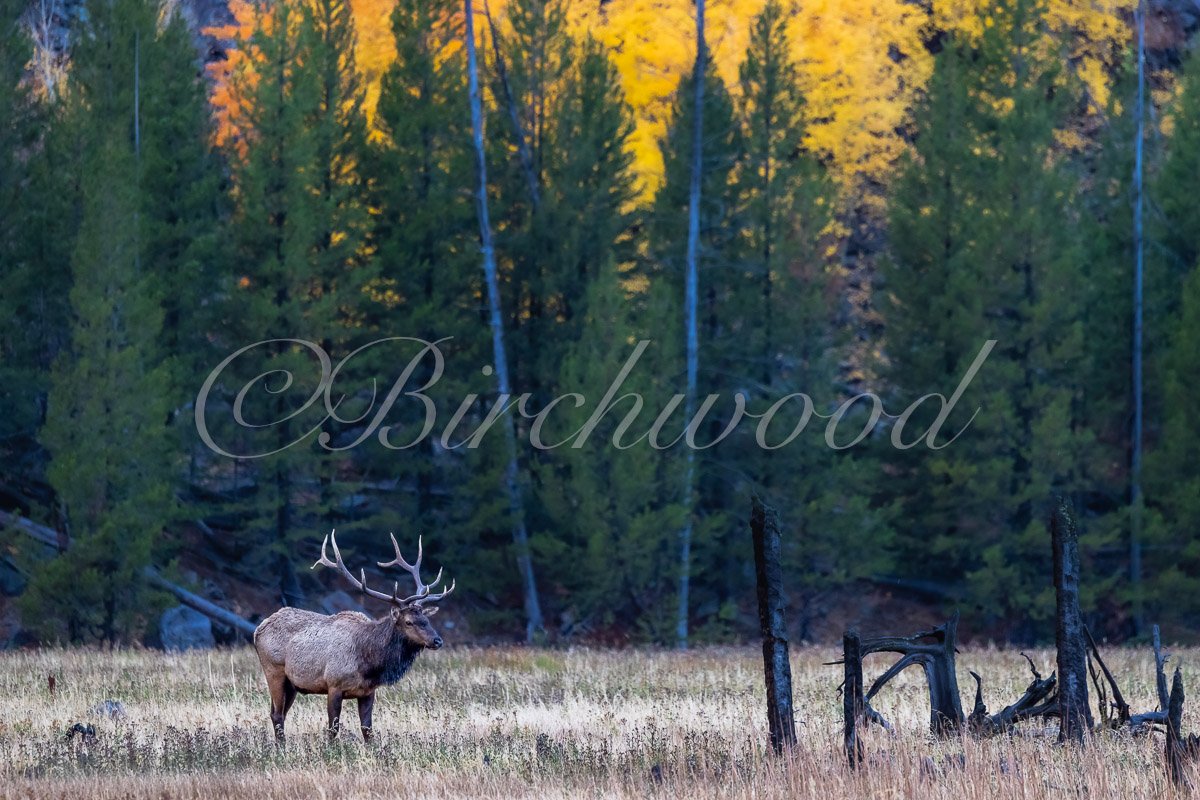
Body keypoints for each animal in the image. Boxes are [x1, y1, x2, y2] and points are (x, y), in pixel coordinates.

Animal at [253, 531, 455, 743]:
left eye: (426, 619)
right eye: (408, 622)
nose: (437, 640)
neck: (368, 663)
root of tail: (257, 630)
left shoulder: (368, 692)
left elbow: (367, 730)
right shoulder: (333, 685)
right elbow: (333, 729)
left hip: (292, 683)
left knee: (279, 713)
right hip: (274, 670)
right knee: (277, 714)